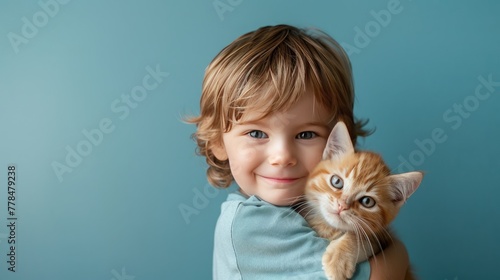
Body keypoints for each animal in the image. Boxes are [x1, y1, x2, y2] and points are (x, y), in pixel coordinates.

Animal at [304, 122, 422, 280]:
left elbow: (360, 238)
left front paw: (339, 260)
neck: (330, 228)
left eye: (367, 201)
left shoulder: (381, 238)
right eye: (337, 182)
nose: (342, 205)